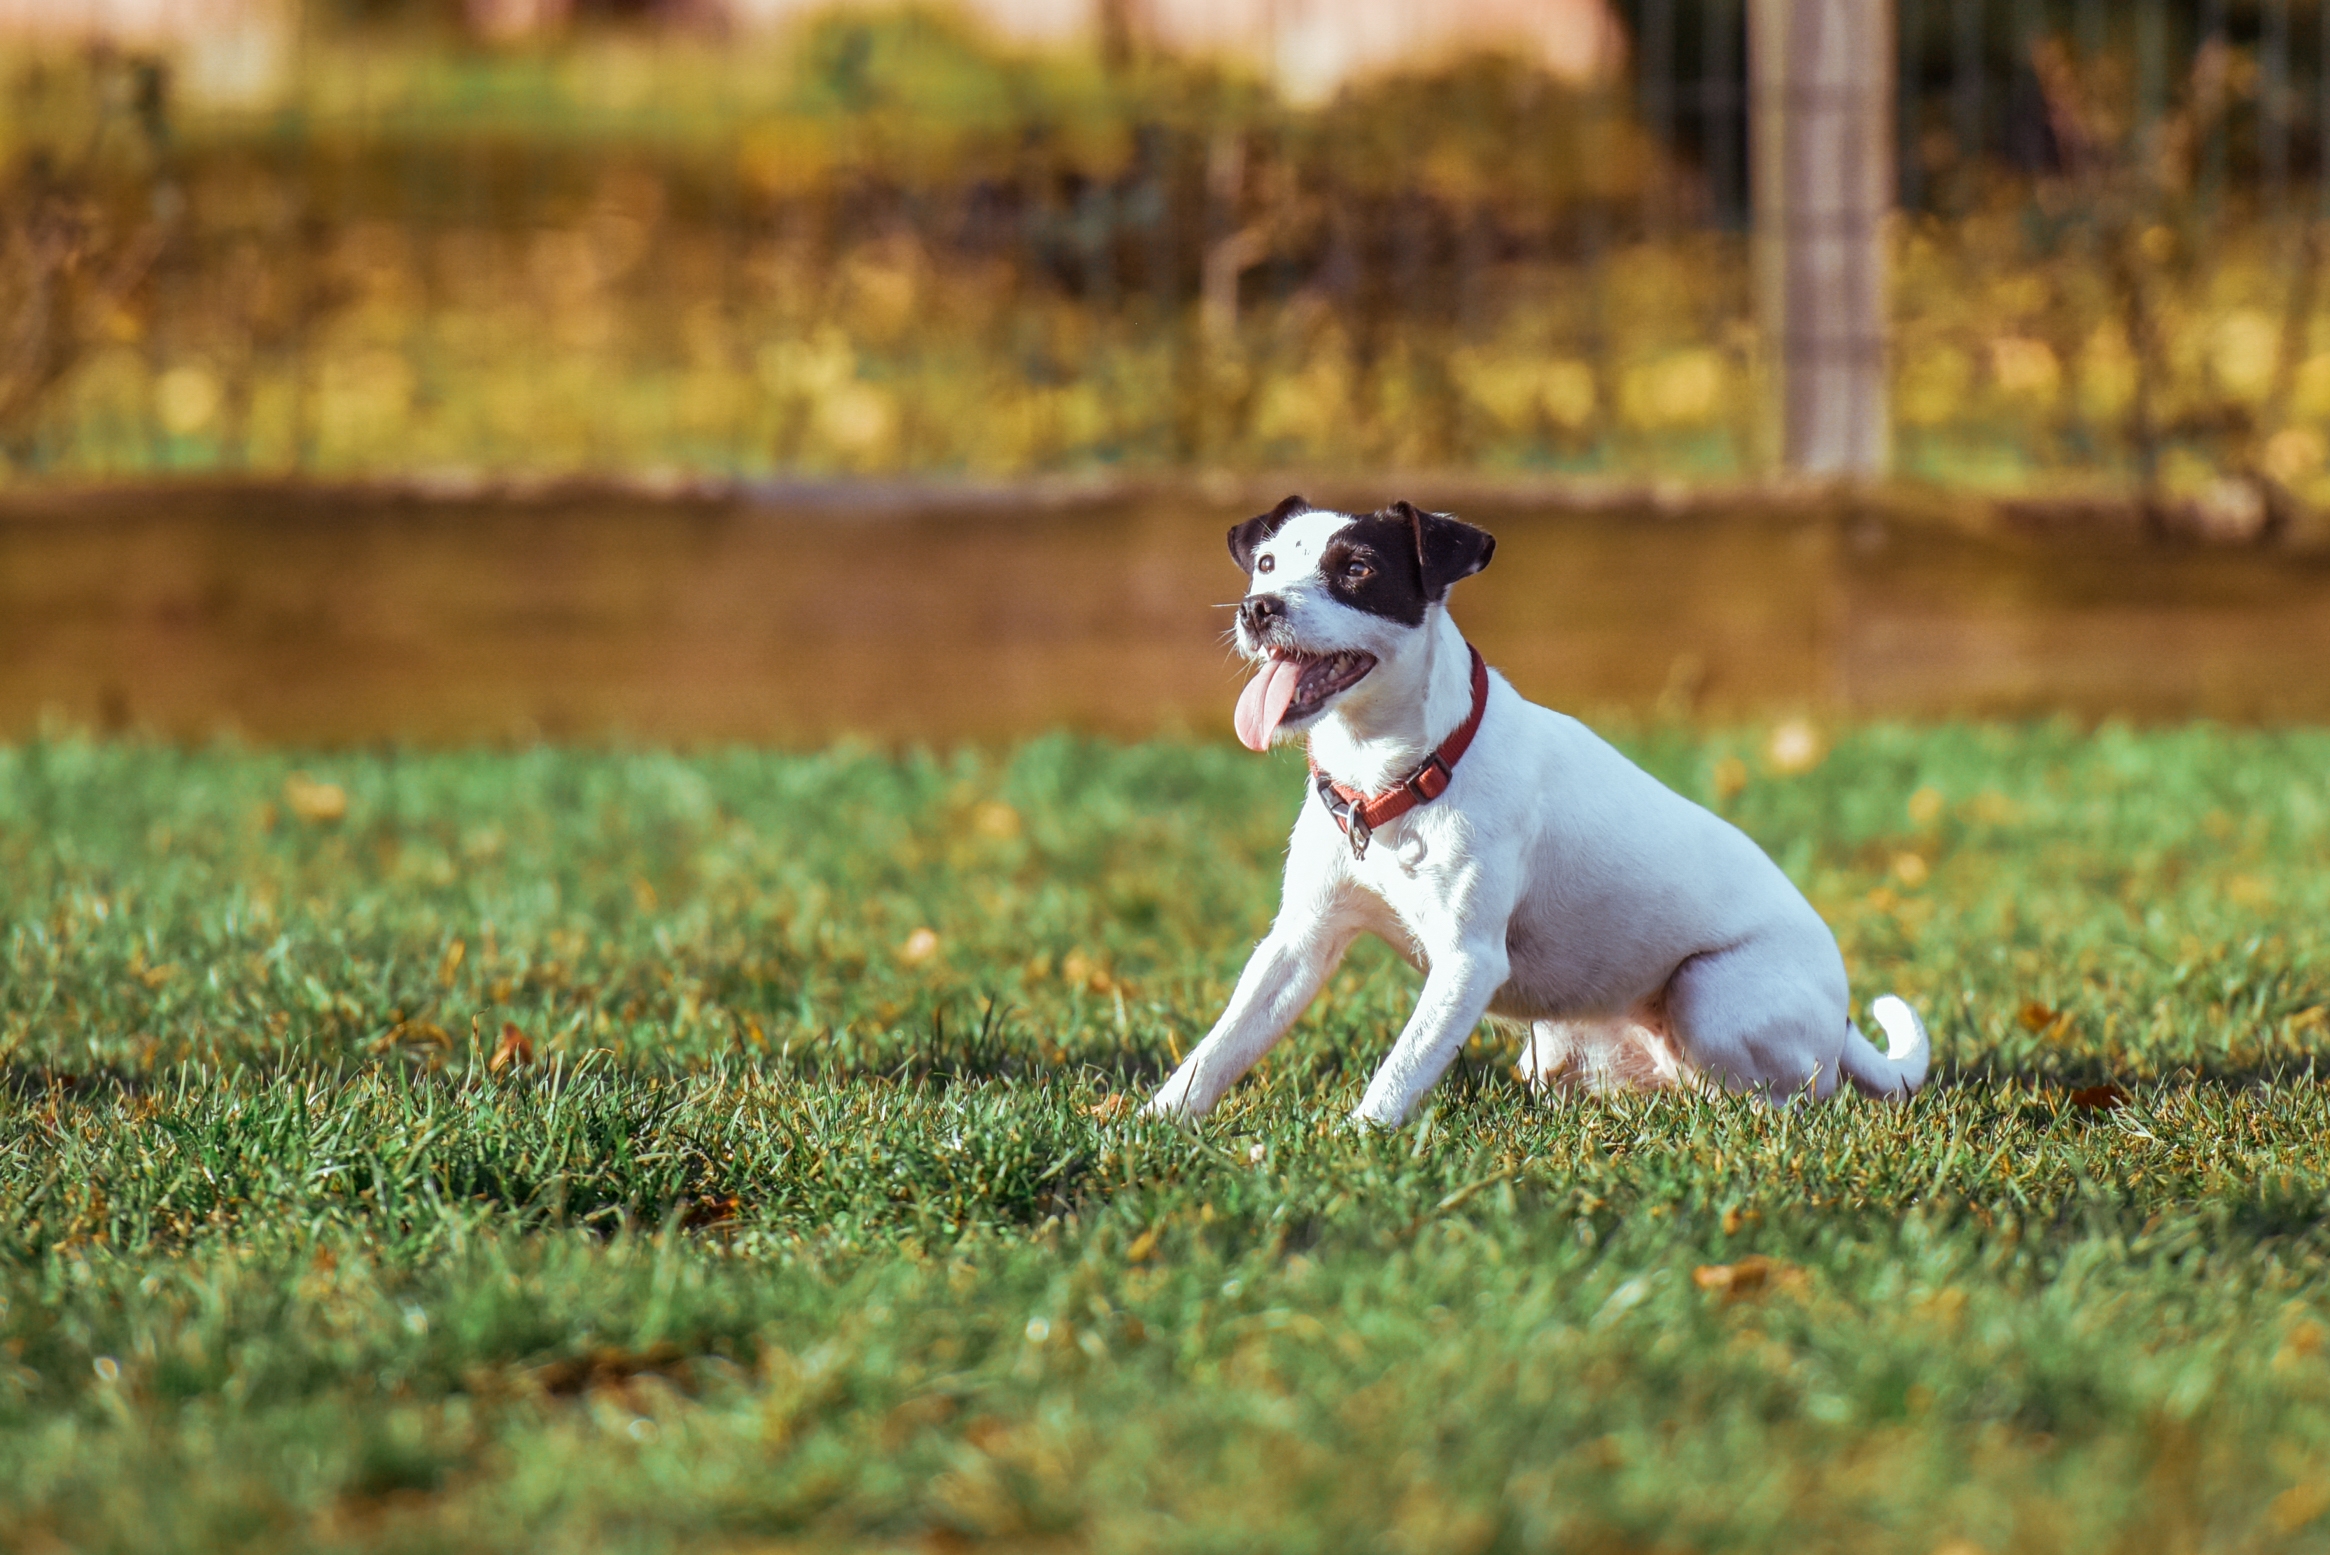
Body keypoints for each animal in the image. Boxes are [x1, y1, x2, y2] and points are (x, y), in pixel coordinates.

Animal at [1146, 498, 1929, 1133]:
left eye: (1358, 569)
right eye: (1266, 564)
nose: (1259, 608)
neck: (1395, 778)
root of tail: (1843, 1021)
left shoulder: (1467, 961)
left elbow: (1403, 1066)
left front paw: (1358, 1140)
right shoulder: (1299, 941)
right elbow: (1222, 1044)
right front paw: (1154, 1122)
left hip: (1708, 993)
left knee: (1784, 1098)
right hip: (1560, 1041)